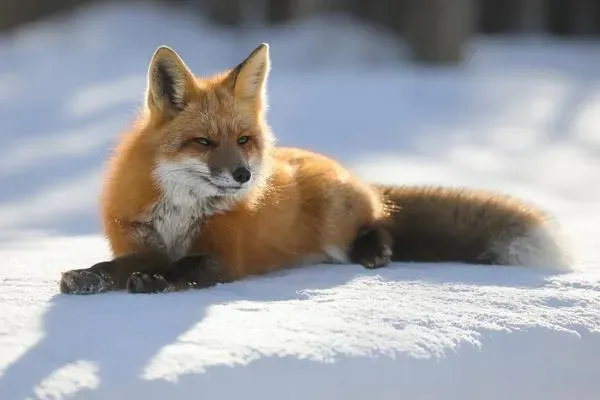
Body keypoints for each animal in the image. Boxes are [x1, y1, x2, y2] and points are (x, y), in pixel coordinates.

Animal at [59, 43, 572, 296]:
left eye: (243, 141)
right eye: (203, 143)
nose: (244, 176)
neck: (180, 213)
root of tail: (352, 175)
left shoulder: (225, 255)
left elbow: (185, 267)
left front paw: (159, 281)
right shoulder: (141, 242)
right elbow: (115, 265)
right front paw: (88, 276)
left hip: (337, 223)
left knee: (380, 224)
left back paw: (375, 251)